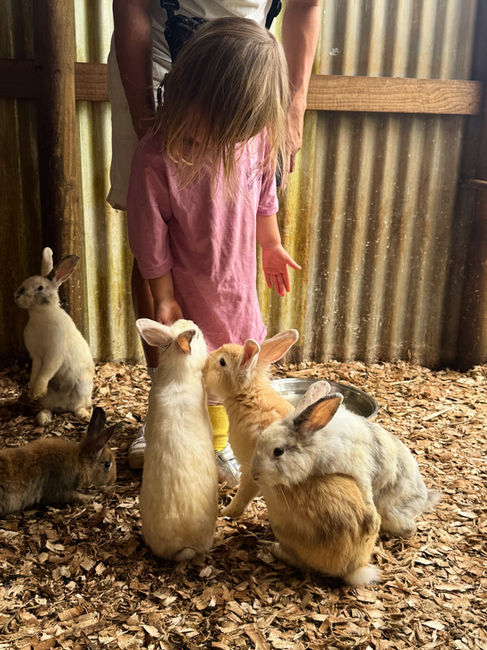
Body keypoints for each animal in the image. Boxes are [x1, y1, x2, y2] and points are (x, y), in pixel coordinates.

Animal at [14, 247, 95, 426]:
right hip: (49, 401)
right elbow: (36, 371)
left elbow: (46, 371)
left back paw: (85, 416)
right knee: (49, 409)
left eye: (40, 288)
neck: (40, 315)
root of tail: (63, 406)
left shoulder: (54, 353)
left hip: (83, 388)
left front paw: (37, 391)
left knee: (79, 407)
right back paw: (43, 418)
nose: (16, 296)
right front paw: (32, 391)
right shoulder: (36, 356)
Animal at [203, 330, 298, 518]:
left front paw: (226, 512)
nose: (205, 365)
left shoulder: (249, 469)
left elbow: (243, 495)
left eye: (222, 362)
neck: (247, 395)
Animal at [254, 380, 441, 538]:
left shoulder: (359, 469)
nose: (254, 475)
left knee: (410, 529)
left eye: (278, 451)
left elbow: (366, 495)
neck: (318, 445)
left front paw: (371, 525)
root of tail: (423, 498)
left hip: (394, 514)